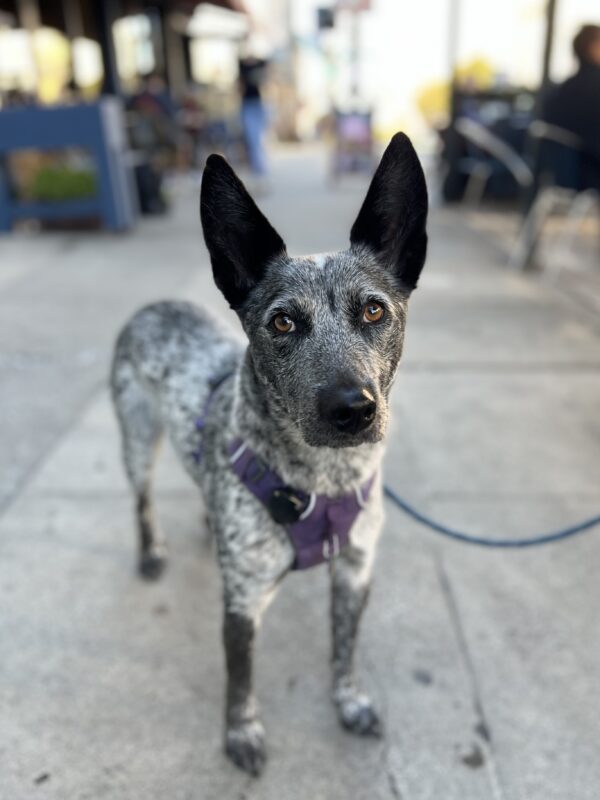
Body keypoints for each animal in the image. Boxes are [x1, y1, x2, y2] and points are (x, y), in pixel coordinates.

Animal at [110, 134, 428, 780]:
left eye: (374, 310)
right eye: (282, 321)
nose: (351, 409)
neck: (324, 481)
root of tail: (154, 305)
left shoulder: (355, 572)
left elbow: (343, 649)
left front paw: (349, 701)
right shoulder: (243, 604)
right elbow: (240, 681)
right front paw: (242, 734)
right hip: (135, 438)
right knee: (143, 498)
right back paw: (150, 550)